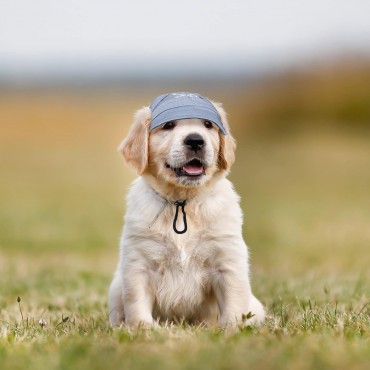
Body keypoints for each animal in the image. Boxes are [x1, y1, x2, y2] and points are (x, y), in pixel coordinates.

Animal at [108, 92, 264, 326]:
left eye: (208, 125)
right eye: (168, 125)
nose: (195, 140)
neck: (182, 203)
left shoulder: (228, 261)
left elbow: (233, 304)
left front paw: (231, 330)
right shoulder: (138, 263)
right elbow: (136, 304)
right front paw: (144, 330)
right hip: (116, 287)